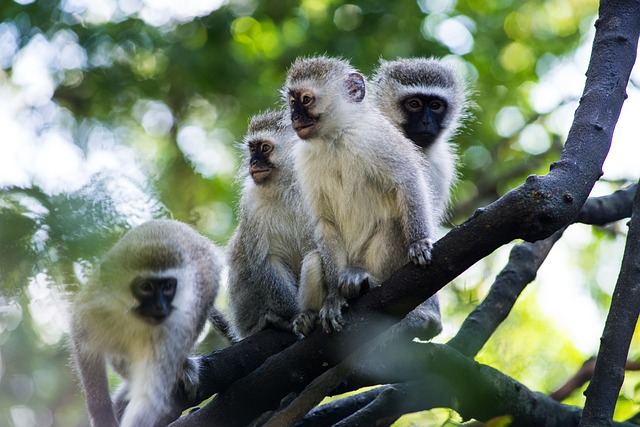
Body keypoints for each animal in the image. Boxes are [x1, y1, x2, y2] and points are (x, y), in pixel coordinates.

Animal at [228, 112, 322, 340]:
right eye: (252, 149)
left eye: (264, 148)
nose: (253, 162)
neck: (287, 185)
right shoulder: (250, 203)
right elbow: (266, 262)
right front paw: (295, 316)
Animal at [284, 56, 440, 336]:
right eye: (292, 101)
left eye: (306, 100)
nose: (294, 117)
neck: (334, 137)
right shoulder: (303, 159)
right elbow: (325, 223)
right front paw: (334, 299)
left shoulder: (377, 137)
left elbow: (407, 180)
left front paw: (419, 241)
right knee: (313, 258)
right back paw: (309, 316)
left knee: (393, 224)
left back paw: (367, 280)